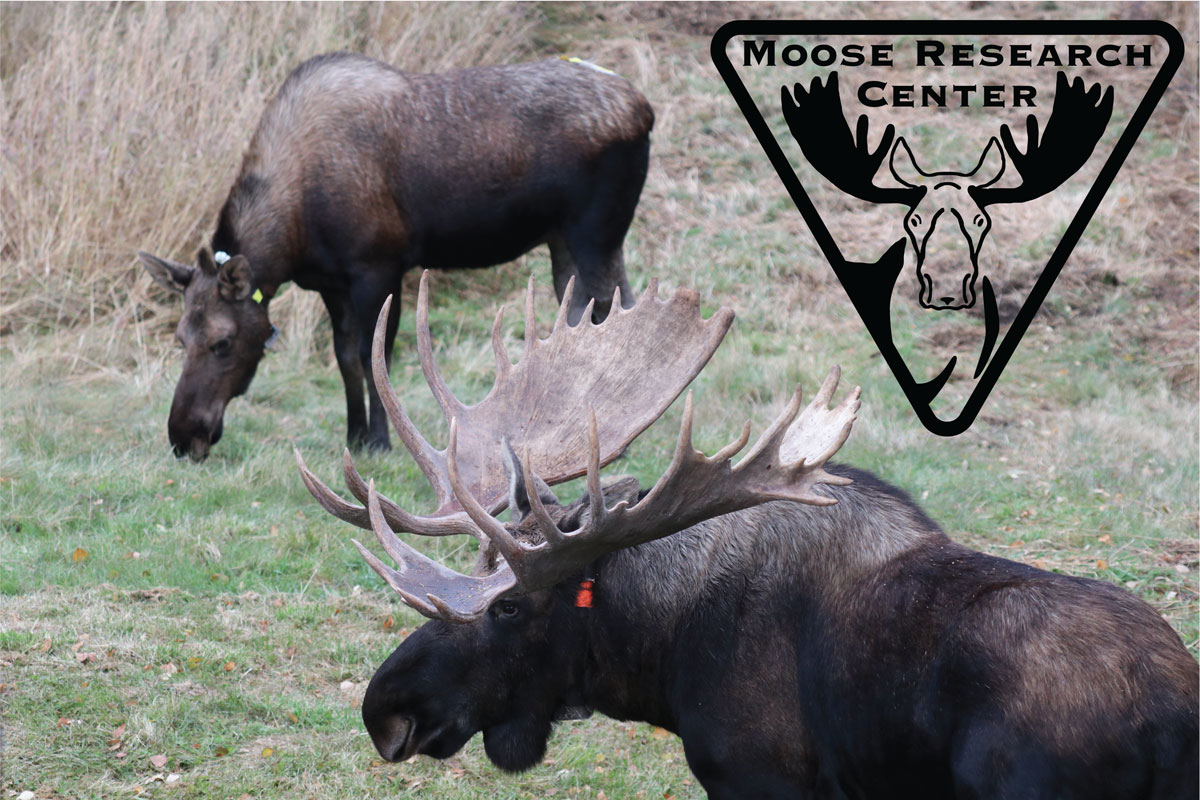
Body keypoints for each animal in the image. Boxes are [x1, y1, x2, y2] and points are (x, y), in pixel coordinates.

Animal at [139, 52, 654, 461]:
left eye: (223, 342)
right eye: (180, 338)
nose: (183, 436)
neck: (294, 232)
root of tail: (644, 108)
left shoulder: (379, 267)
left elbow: (375, 358)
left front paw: (381, 442)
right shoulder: (331, 283)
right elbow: (346, 358)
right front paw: (354, 435)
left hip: (596, 233)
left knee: (617, 307)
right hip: (563, 239)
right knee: (586, 312)